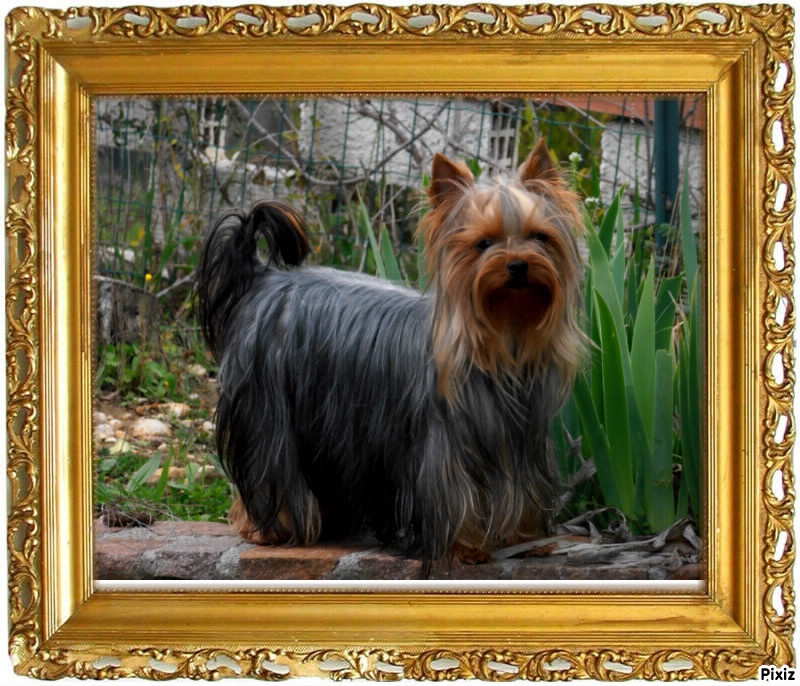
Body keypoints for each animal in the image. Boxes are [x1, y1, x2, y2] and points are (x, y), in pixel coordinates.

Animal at [196, 139, 584, 564]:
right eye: (483, 244)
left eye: (540, 237)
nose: (518, 265)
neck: (503, 340)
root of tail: (263, 278)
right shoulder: (440, 449)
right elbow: (454, 495)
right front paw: (464, 546)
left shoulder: (521, 440)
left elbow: (519, 489)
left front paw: (526, 538)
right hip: (269, 412)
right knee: (271, 470)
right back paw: (269, 528)